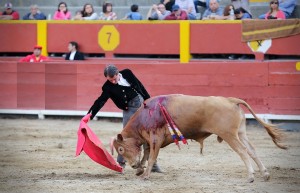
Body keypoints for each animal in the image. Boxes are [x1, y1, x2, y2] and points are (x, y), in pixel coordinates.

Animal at [113, 94, 288, 182]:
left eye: (121, 149)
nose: (132, 165)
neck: (145, 114)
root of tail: (230, 100)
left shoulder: (156, 138)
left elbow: (151, 157)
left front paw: (145, 175)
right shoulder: (150, 141)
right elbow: (146, 155)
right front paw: (140, 170)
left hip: (229, 135)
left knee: (243, 151)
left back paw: (251, 176)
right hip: (241, 133)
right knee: (252, 150)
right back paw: (265, 174)